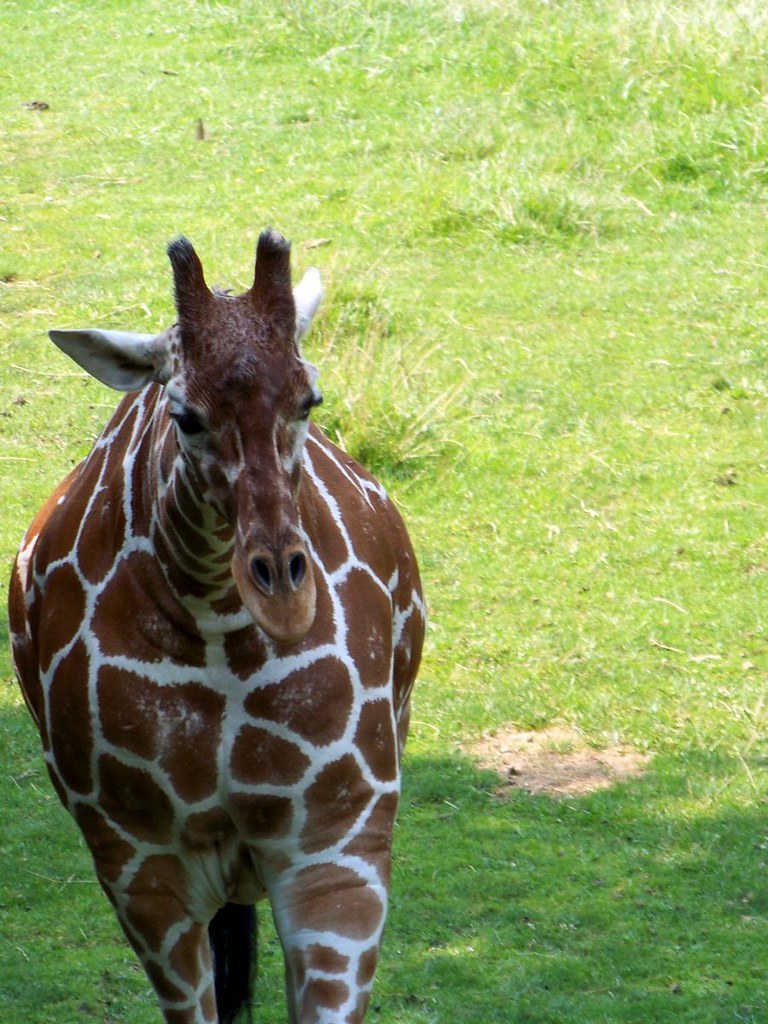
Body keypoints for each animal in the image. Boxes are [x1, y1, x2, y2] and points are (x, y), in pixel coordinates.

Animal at [8, 229, 425, 1024]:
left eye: (308, 398)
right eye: (185, 414)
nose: (285, 597)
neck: (219, 631)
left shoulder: (338, 850)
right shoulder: (142, 869)